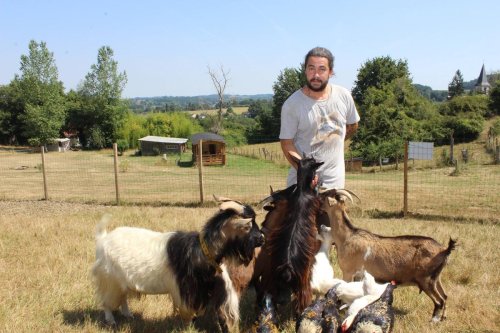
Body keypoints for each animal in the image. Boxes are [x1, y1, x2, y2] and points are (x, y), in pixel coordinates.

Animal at [93, 196, 266, 330]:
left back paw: (128, 315)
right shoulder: (185, 291)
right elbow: (187, 314)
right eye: (248, 225)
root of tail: (103, 240)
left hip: (121, 282)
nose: (262, 238)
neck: (202, 249)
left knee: (122, 299)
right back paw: (111, 321)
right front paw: (188, 327)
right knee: (107, 302)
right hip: (110, 280)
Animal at [320, 189, 458, 322]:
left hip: (426, 279)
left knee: (439, 300)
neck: (347, 236)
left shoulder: (348, 272)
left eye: (324, 195)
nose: (317, 194)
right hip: (436, 278)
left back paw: (434, 320)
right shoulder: (359, 275)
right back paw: (443, 318)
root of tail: (444, 250)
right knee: (445, 296)